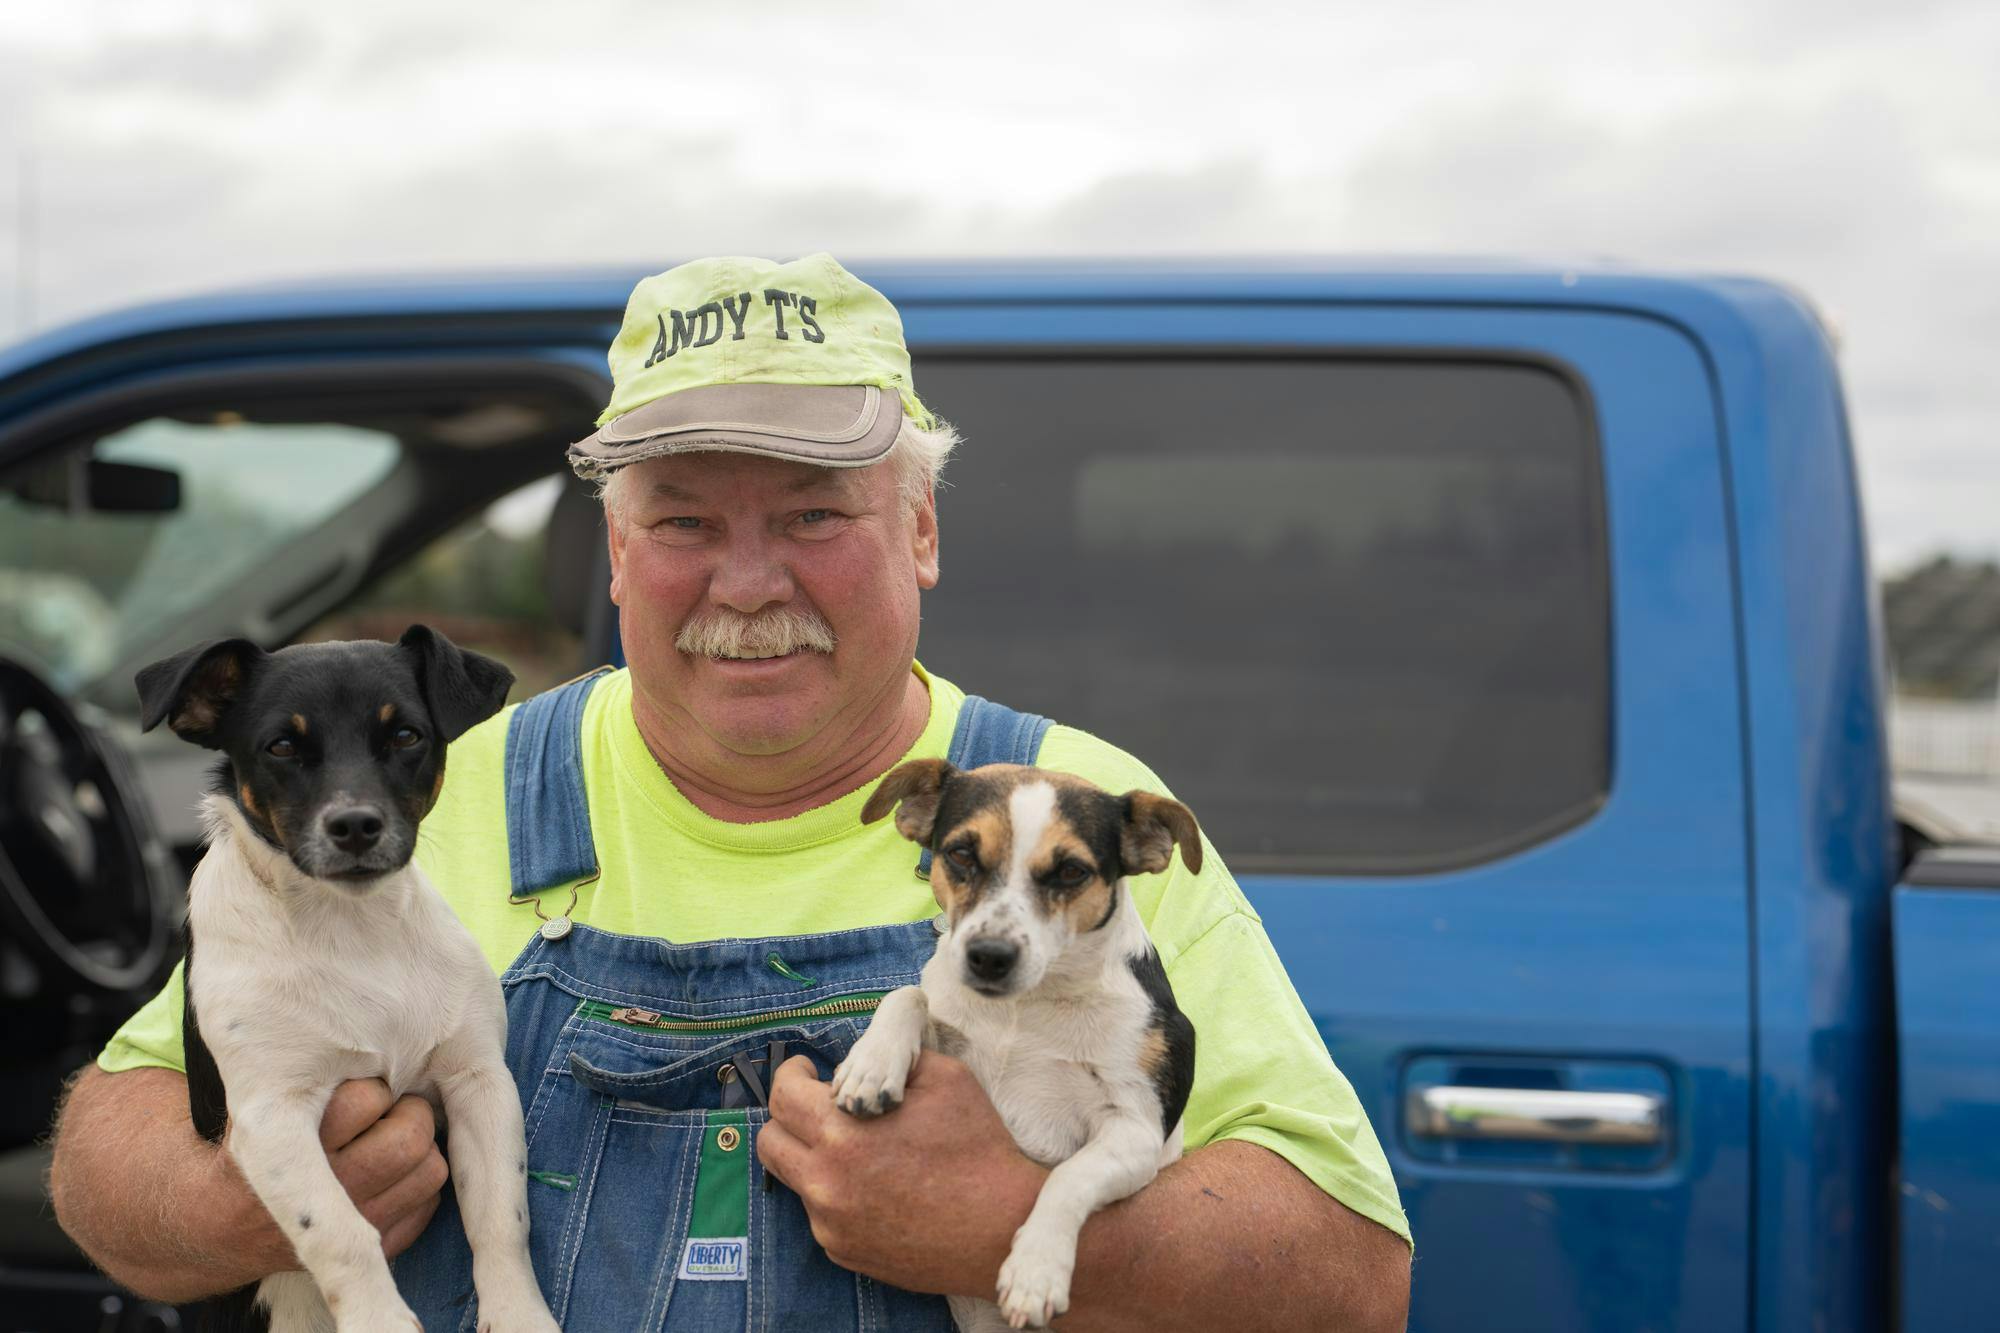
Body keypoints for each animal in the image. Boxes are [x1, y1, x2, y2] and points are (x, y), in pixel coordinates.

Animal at [134, 624, 560, 1328]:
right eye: (281, 745)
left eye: (406, 735)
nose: (355, 825)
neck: (352, 931)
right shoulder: (272, 1116)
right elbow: (338, 1230)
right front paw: (379, 1319)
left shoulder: (478, 1081)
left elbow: (502, 1216)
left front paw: (518, 1315)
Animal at [836, 756, 1192, 1328]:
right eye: (961, 854)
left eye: (1072, 871)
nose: (989, 955)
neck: (1024, 1009)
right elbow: (908, 995)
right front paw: (871, 1065)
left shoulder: (1134, 1130)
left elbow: (1067, 1177)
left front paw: (1035, 1270)